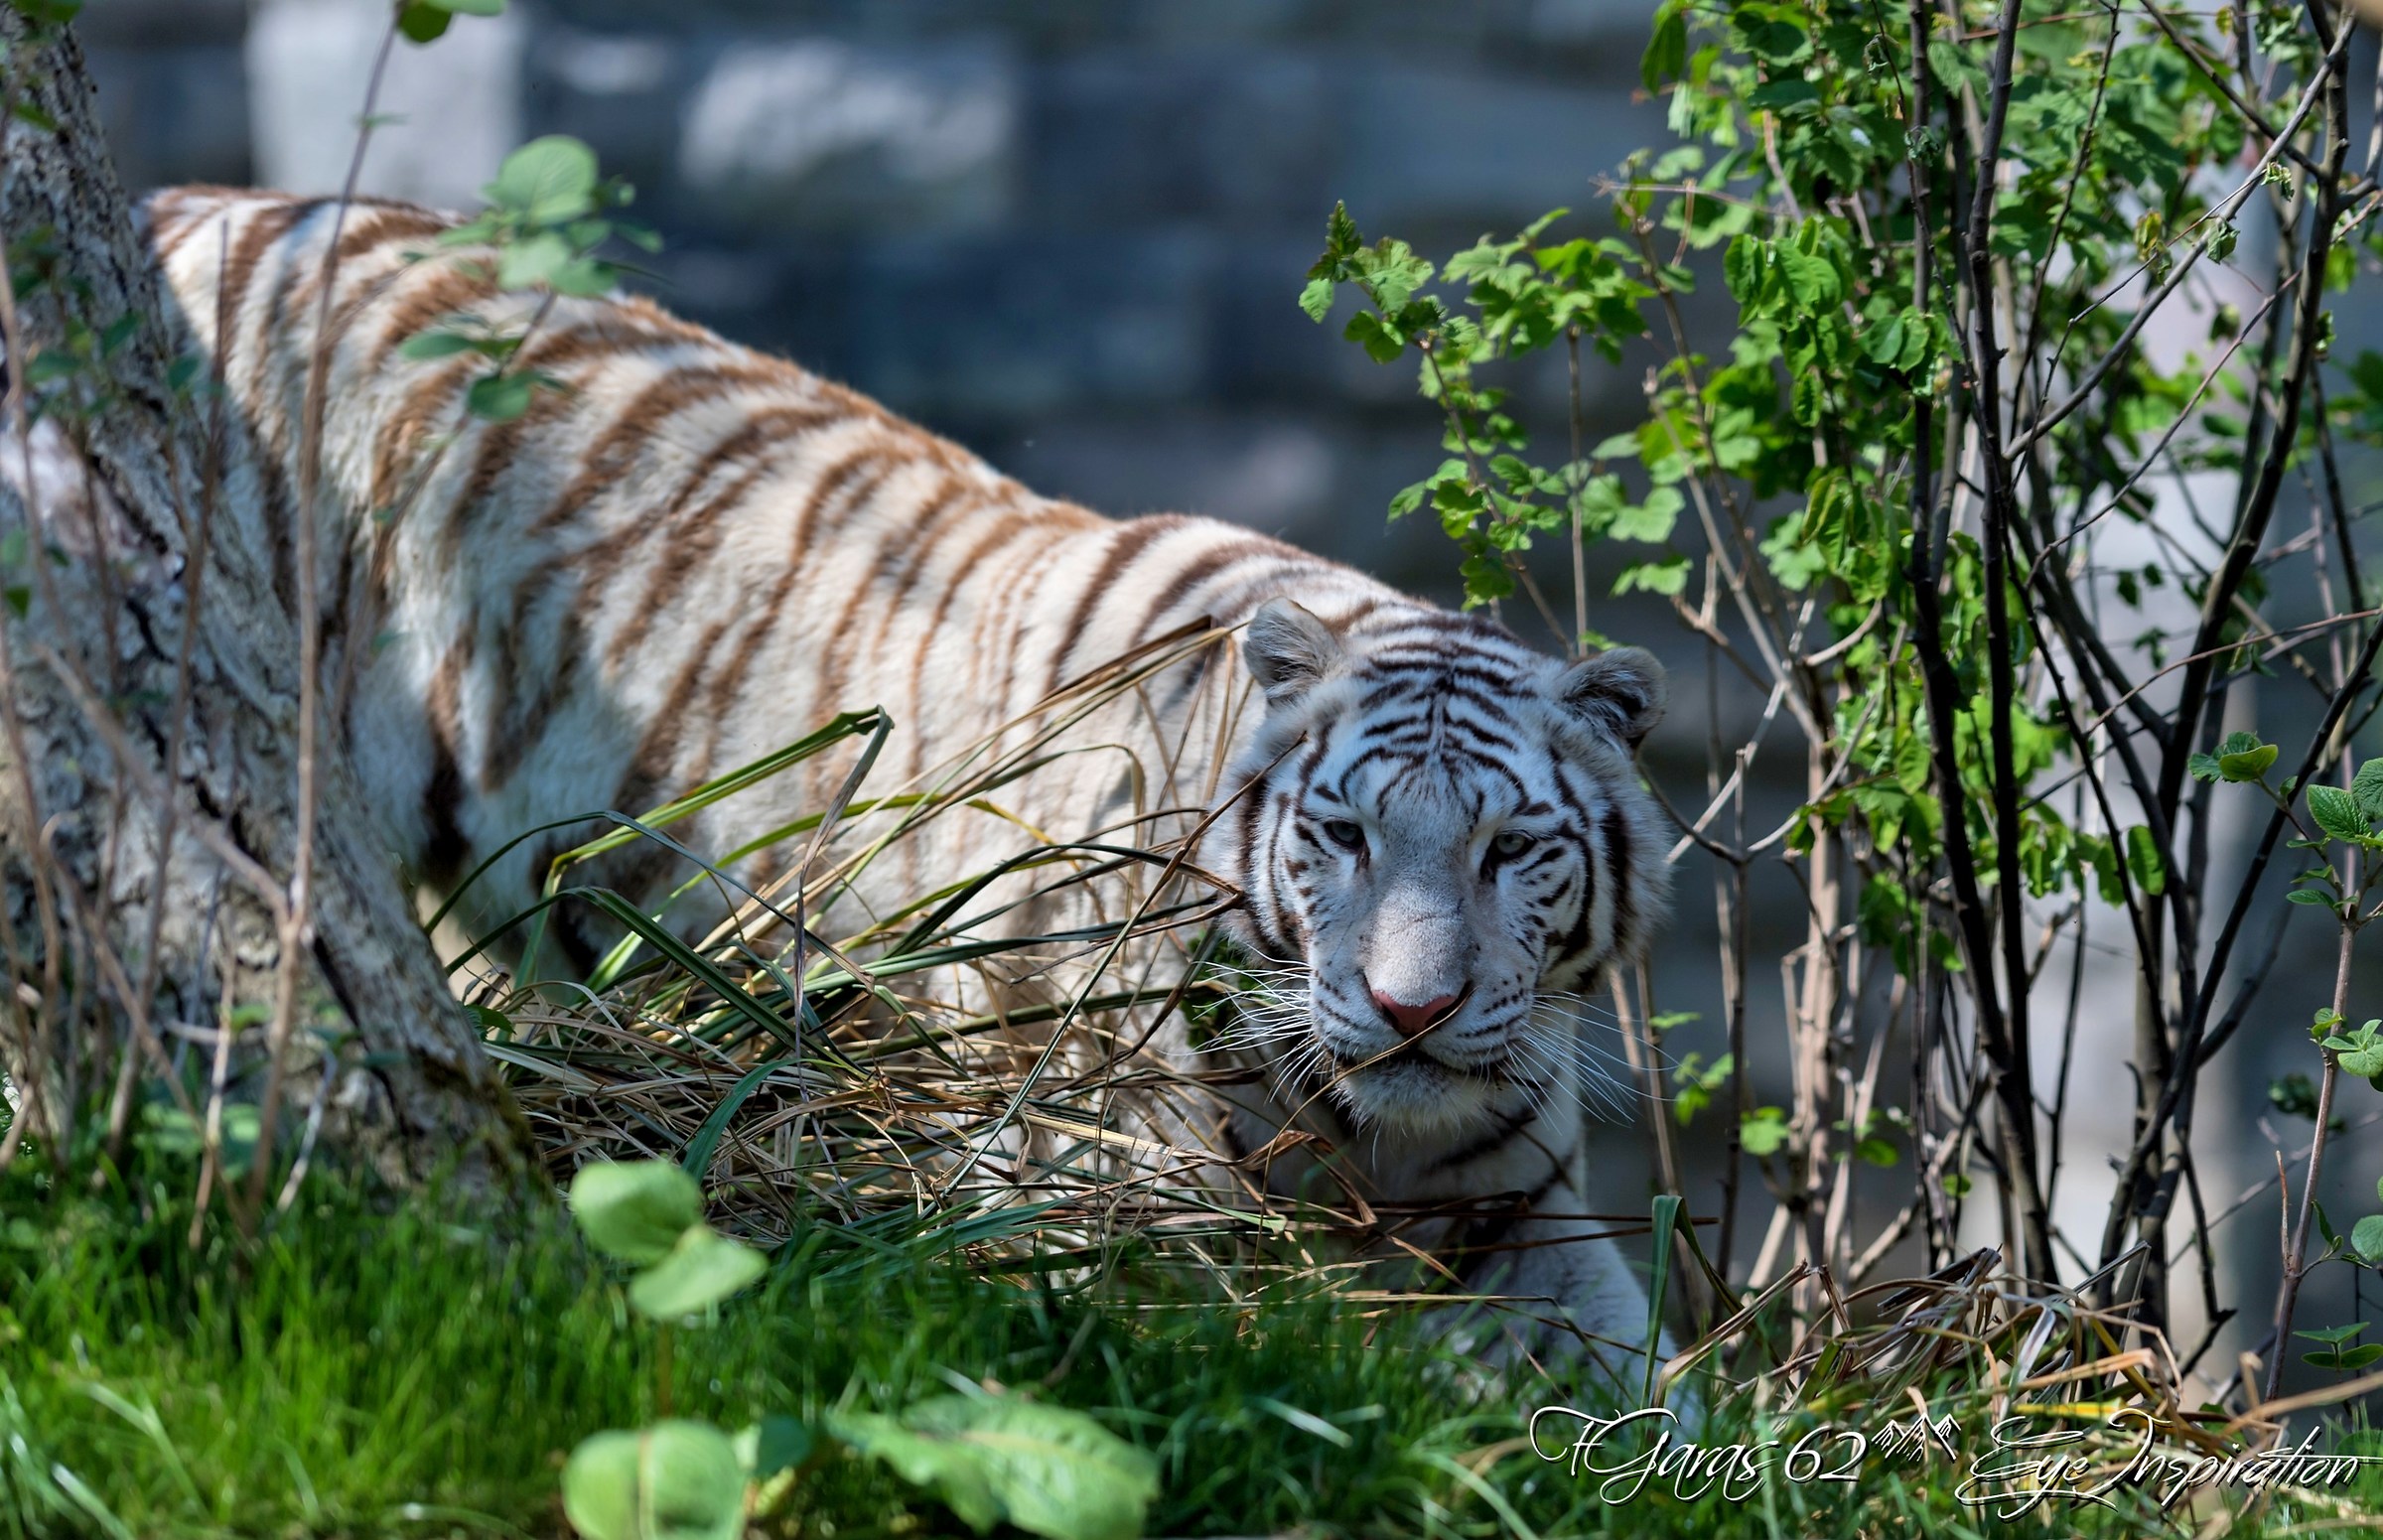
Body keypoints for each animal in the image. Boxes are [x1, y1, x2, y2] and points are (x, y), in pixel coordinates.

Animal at [138, 185, 1677, 1386]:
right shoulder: (1110, 1173)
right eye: (1345, 837)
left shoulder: (1528, 1214)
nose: (1414, 1011)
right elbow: (1236, 1333)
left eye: (1509, 849)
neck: (1368, 1133)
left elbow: (1644, 1375)